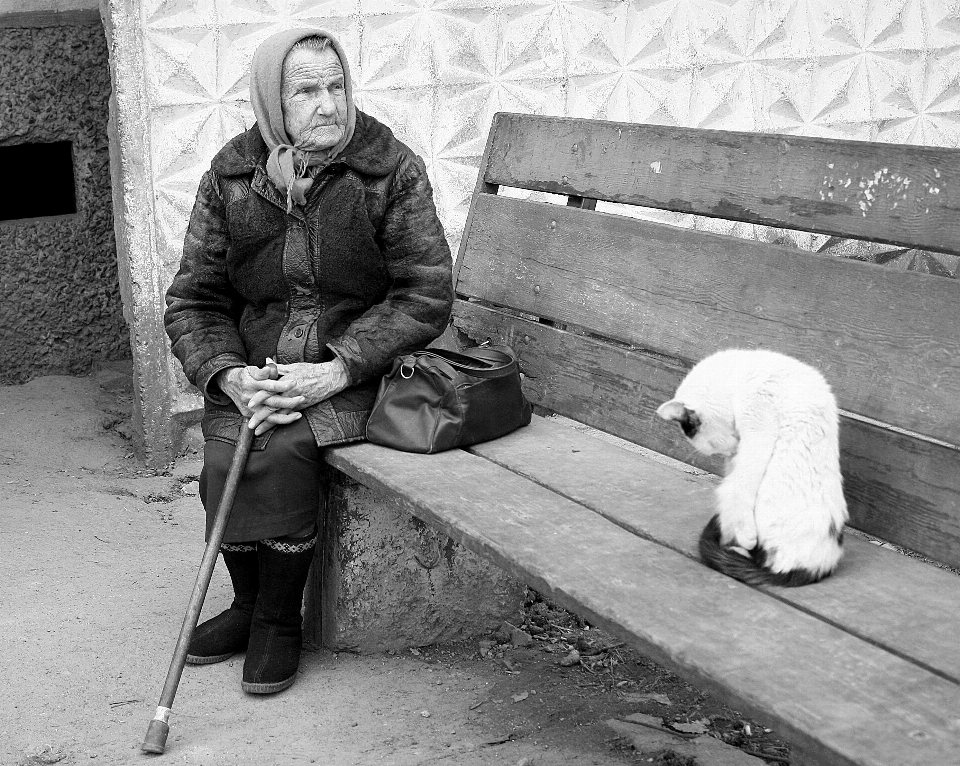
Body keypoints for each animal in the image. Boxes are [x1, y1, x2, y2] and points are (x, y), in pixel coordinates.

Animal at [652, 350, 848, 588]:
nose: (731, 453)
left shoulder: (757, 427)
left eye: (712, 446)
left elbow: (739, 487)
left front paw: (745, 534)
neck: (742, 371)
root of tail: (815, 568)